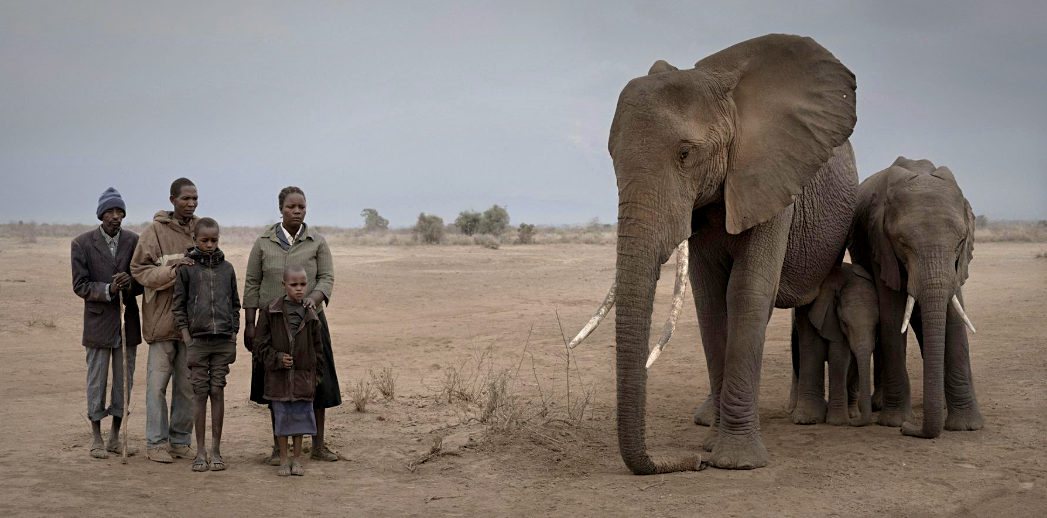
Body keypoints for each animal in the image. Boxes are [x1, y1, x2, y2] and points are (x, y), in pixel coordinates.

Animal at [573, 35, 858, 475]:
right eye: (611, 157)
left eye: (686, 154)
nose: (691, 463)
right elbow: (710, 300)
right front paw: (711, 445)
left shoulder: (772, 178)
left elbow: (745, 293)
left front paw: (735, 461)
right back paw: (710, 417)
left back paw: (800, 415)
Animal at [787, 261, 879, 426]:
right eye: (845, 323)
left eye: (877, 326)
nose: (855, 424)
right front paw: (834, 421)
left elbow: (839, 355)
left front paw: (838, 421)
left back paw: (852, 414)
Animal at [845, 156, 984, 437]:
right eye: (902, 243)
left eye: (960, 241)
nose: (909, 430)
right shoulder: (880, 248)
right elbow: (892, 318)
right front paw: (895, 422)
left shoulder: (956, 266)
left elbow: (954, 320)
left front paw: (966, 426)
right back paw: (881, 405)